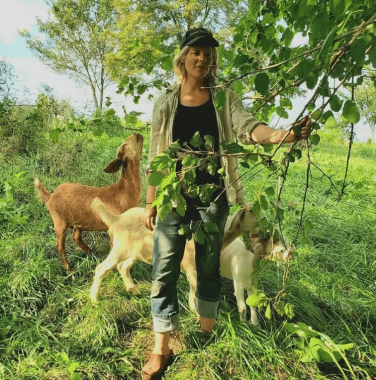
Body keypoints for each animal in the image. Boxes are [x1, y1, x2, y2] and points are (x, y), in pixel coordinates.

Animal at [34, 133, 144, 270]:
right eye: (123, 146)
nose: (137, 134)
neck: (124, 191)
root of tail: (50, 196)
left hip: (79, 220)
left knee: (75, 236)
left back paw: (92, 253)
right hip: (59, 221)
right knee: (60, 246)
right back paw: (69, 269)